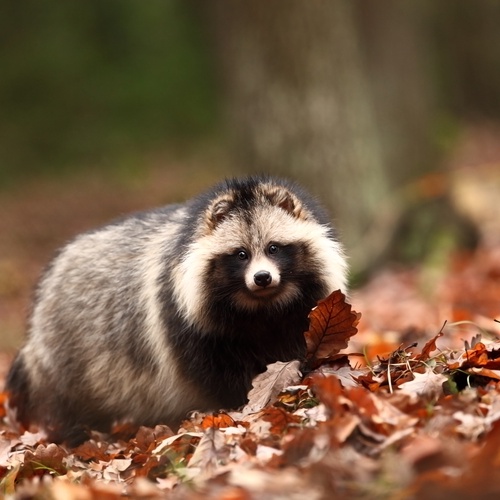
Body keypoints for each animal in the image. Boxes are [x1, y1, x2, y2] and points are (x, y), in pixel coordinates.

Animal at [4, 177, 348, 446]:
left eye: (274, 248)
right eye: (241, 254)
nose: (262, 278)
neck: (262, 308)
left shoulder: (298, 312)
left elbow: (293, 345)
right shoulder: (185, 321)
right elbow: (217, 373)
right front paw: (241, 401)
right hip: (68, 352)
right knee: (65, 402)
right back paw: (74, 432)